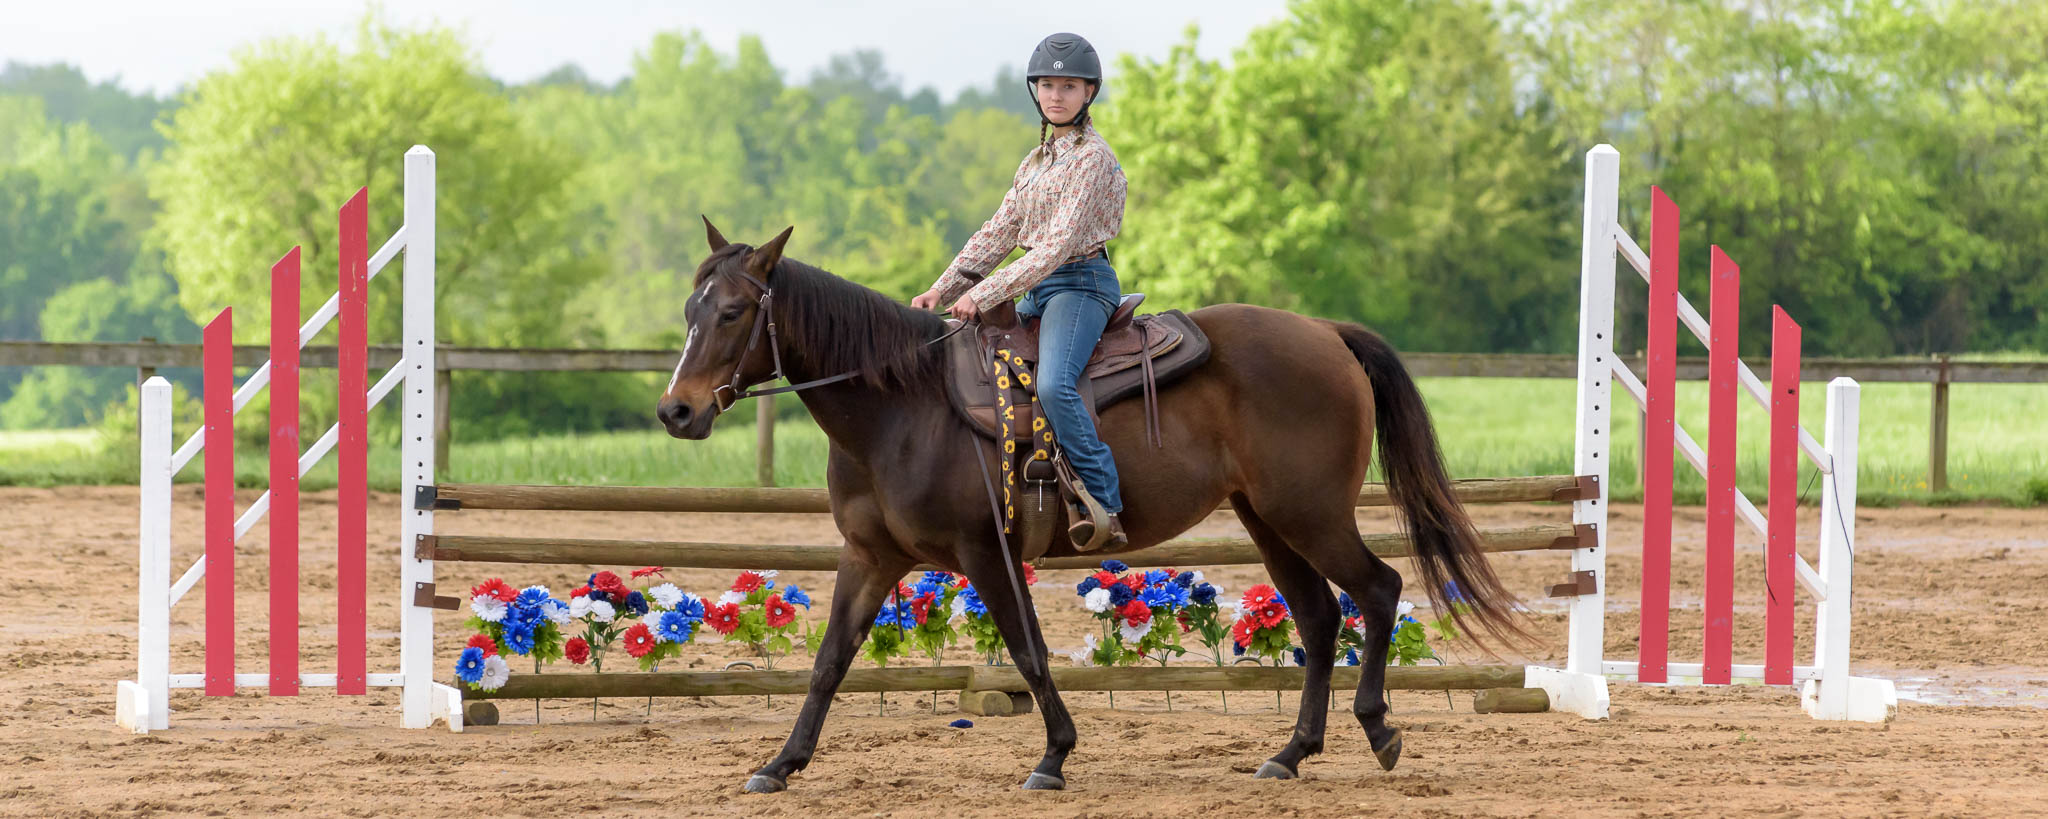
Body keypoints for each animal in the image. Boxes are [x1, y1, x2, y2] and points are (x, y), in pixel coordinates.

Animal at [655, 222, 1523, 794]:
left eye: (733, 312)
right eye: (689, 311)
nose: (675, 411)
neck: (903, 406)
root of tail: (1327, 334)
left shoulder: (985, 553)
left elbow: (1030, 651)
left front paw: (1054, 756)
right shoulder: (870, 557)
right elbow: (831, 660)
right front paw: (779, 764)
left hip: (1310, 513)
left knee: (1377, 589)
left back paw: (1377, 728)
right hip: (1267, 519)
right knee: (1316, 615)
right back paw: (1290, 752)